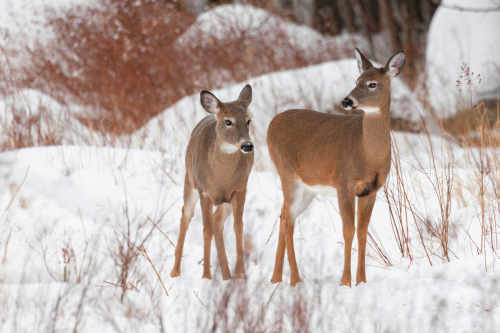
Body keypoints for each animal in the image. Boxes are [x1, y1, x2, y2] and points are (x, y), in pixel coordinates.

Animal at [170, 84, 254, 278]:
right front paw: (206, 276)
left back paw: (226, 274)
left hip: (225, 199)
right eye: (228, 121)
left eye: (248, 121)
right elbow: (206, 231)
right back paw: (175, 271)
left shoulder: (240, 189)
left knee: (217, 222)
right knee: (185, 216)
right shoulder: (205, 192)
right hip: (190, 182)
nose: (247, 145)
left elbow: (238, 227)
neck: (220, 177)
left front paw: (241, 274)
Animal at [268, 48, 404, 286]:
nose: (346, 101)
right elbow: (348, 231)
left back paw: (276, 279)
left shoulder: (372, 190)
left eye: (372, 84)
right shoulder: (344, 183)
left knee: (283, 215)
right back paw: (295, 279)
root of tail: (270, 124)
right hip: (287, 173)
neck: (367, 153)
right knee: (289, 220)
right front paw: (346, 281)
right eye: (356, 80)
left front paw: (362, 281)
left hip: (308, 187)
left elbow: (362, 231)